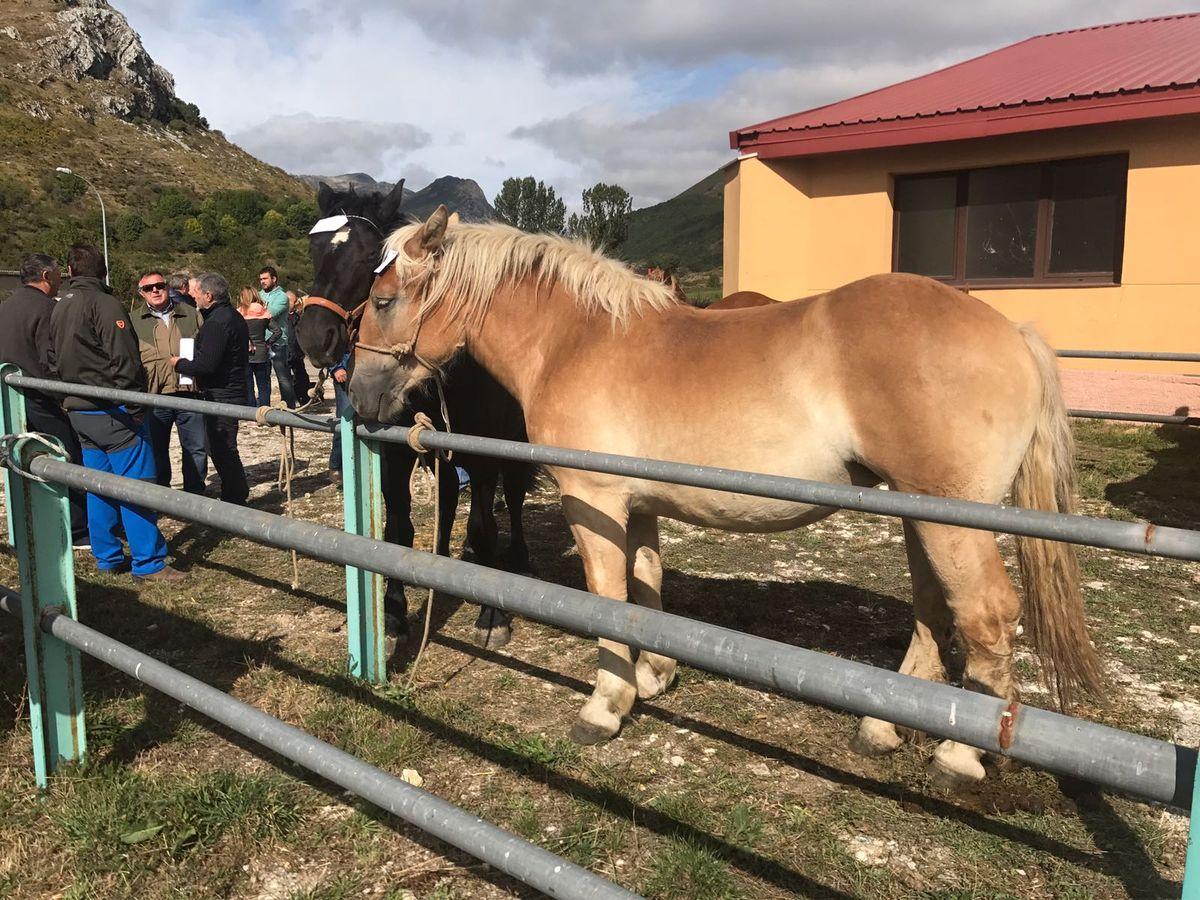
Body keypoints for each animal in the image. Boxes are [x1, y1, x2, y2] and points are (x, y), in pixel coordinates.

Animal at [297, 183, 532, 648]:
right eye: (314, 246)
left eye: (372, 255)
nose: (315, 336)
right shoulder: (397, 452)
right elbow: (398, 529)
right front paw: (393, 613)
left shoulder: (483, 457)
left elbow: (484, 526)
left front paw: (492, 616)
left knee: (513, 497)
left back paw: (516, 555)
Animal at [348, 204, 1099, 787]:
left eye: (384, 302)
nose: (356, 398)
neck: (576, 340)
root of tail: (1013, 333)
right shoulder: (638, 508)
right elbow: (645, 589)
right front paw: (653, 678)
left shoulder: (594, 502)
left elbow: (607, 597)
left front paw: (605, 706)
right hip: (920, 514)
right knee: (932, 609)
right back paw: (881, 730)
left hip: (953, 524)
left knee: (986, 616)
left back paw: (959, 758)